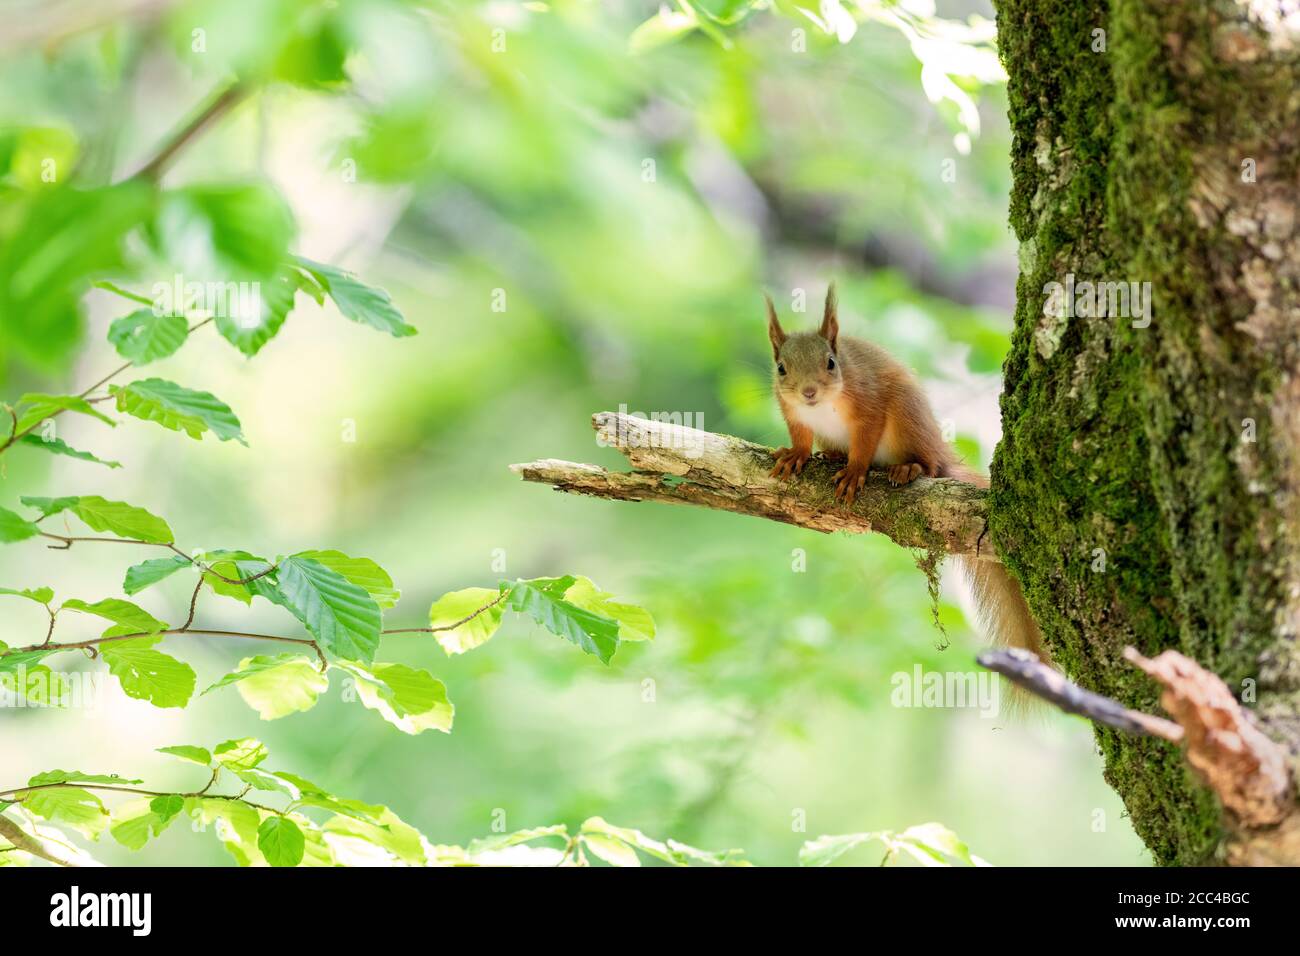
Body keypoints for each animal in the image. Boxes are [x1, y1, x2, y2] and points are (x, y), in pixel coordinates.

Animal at [764, 286, 1050, 665]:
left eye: (831, 362)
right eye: (781, 369)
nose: (809, 392)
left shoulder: (868, 401)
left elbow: (866, 439)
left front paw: (855, 472)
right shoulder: (791, 410)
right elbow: (799, 435)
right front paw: (796, 455)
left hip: (906, 415)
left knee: (929, 465)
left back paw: (909, 467)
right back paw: (833, 453)